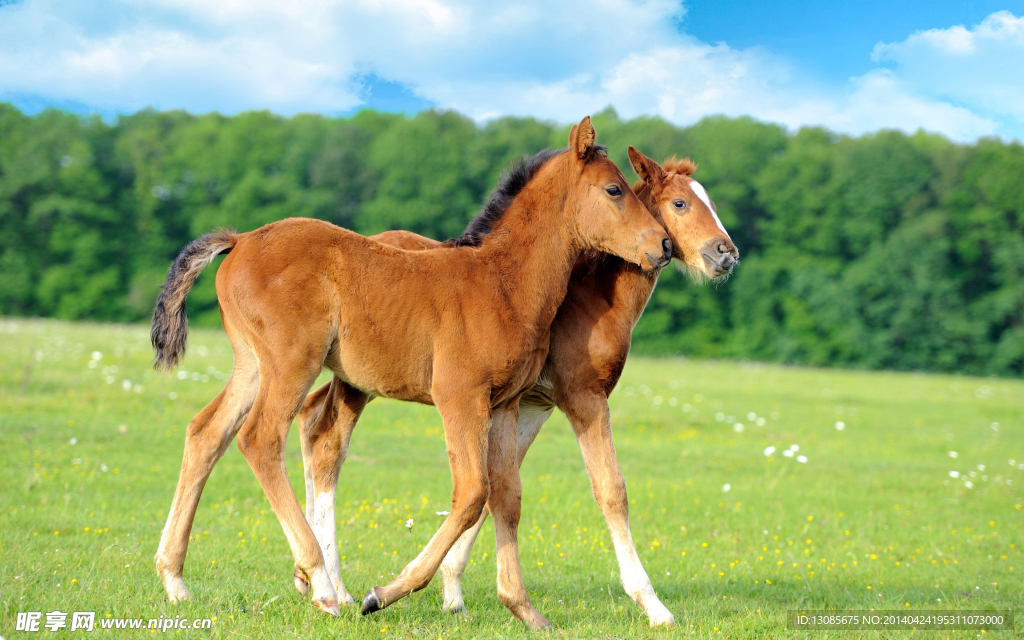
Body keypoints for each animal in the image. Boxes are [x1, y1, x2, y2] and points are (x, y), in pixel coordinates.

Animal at [150, 117, 671, 630]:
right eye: (614, 190)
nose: (663, 244)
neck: (503, 282)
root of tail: (239, 240)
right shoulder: (459, 396)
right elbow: (472, 492)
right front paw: (383, 594)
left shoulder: (505, 404)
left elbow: (506, 495)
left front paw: (524, 609)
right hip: (291, 363)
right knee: (259, 438)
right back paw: (321, 584)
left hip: (252, 365)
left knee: (206, 434)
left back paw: (175, 580)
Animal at [293, 146, 738, 627]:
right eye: (680, 203)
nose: (726, 253)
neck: (589, 299)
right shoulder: (582, 397)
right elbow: (610, 490)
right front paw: (653, 605)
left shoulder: (530, 405)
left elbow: (497, 490)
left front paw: (453, 591)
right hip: (359, 381)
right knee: (329, 444)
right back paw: (333, 586)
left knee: (312, 421)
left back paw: (311, 578)